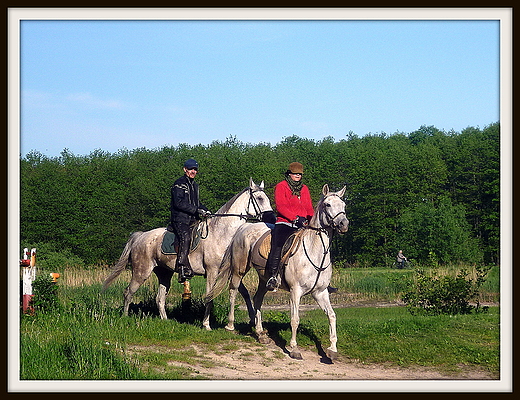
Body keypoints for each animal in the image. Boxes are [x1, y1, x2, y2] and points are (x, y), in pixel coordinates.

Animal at [101, 179, 272, 332]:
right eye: (260, 198)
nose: (270, 217)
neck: (221, 234)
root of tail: (140, 236)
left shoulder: (228, 272)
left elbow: (245, 293)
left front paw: (253, 320)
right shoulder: (212, 272)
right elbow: (209, 298)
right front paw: (206, 325)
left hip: (164, 274)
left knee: (159, 298)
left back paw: (165, 320)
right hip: (141, 272)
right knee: (128, 292)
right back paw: (125, 317)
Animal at [204, 184, 350, 360]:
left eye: (343, 205)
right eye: (328, 204)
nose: (343, 224)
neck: (314, 251)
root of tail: (244, 226)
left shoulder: (320, 292)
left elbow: (332, 315)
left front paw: (332, 349)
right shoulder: (295, 291)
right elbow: (295, 319)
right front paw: (294, 349)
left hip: (263, 279)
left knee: (257, 299)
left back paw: (260, 333)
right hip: (239, 270)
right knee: (233, 291)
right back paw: (230, 325)